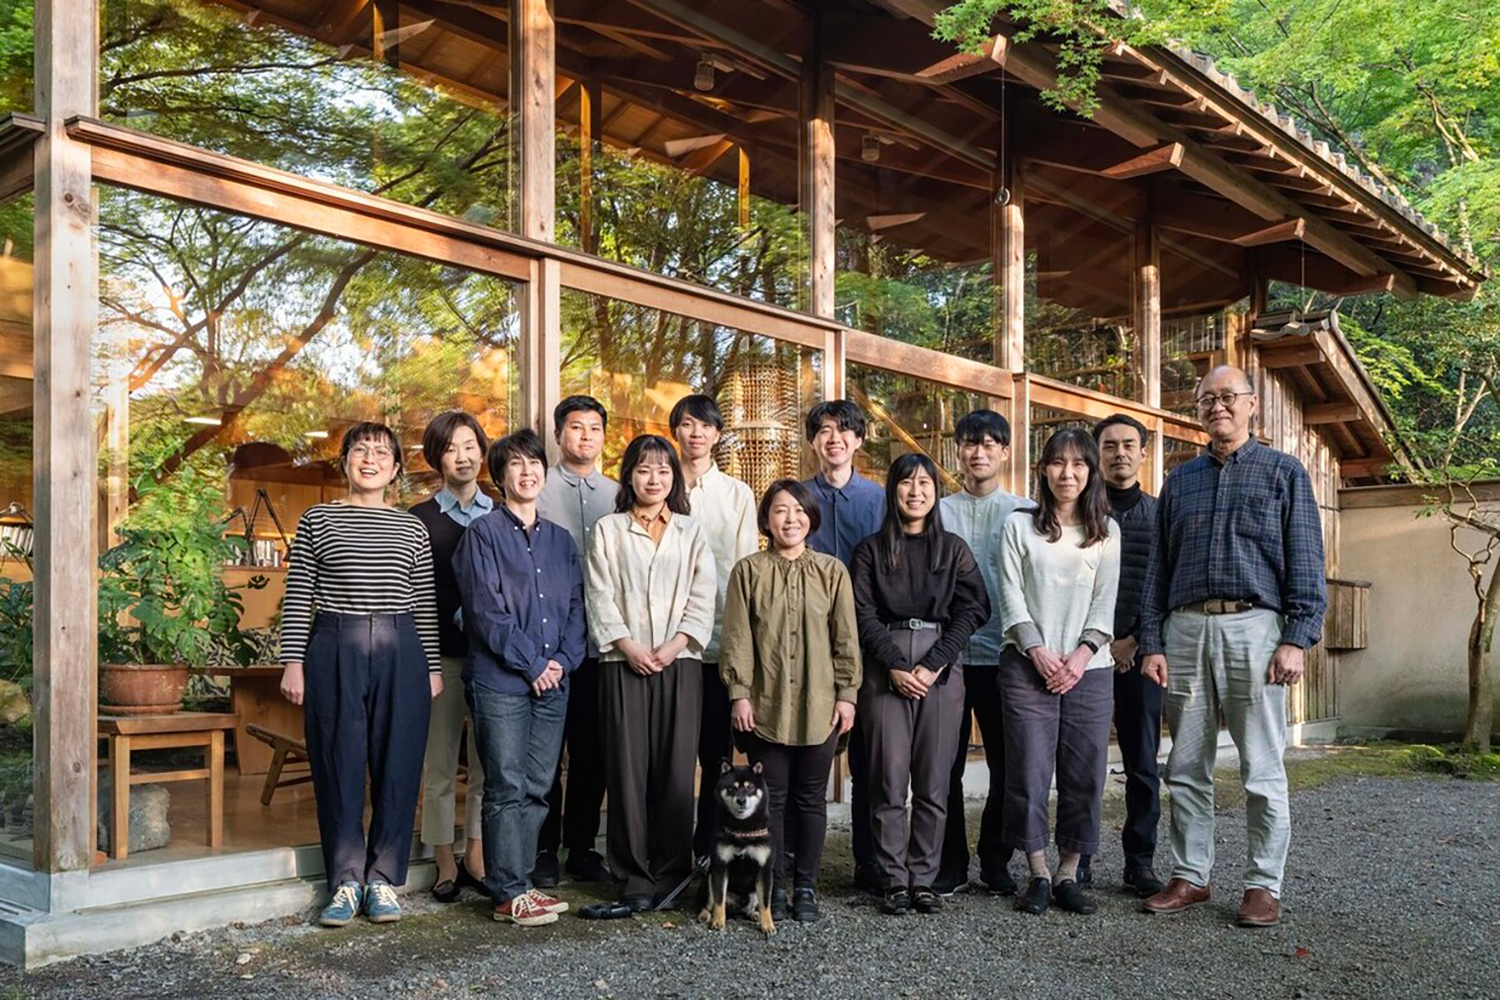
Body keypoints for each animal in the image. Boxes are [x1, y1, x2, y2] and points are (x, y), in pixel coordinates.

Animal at [699, 761, 780, 935]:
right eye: (732, 788)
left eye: (750, 788)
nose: (741, 800)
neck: (743, 829)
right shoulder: (720, 867)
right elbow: (719, 899)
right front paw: (718, 921)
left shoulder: (764, 870)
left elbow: (765, 903)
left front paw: (768, 925)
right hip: (709, 878)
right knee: (709, 903)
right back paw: (705, 915)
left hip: (754, 890)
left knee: (752, 906)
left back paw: (754, 914)